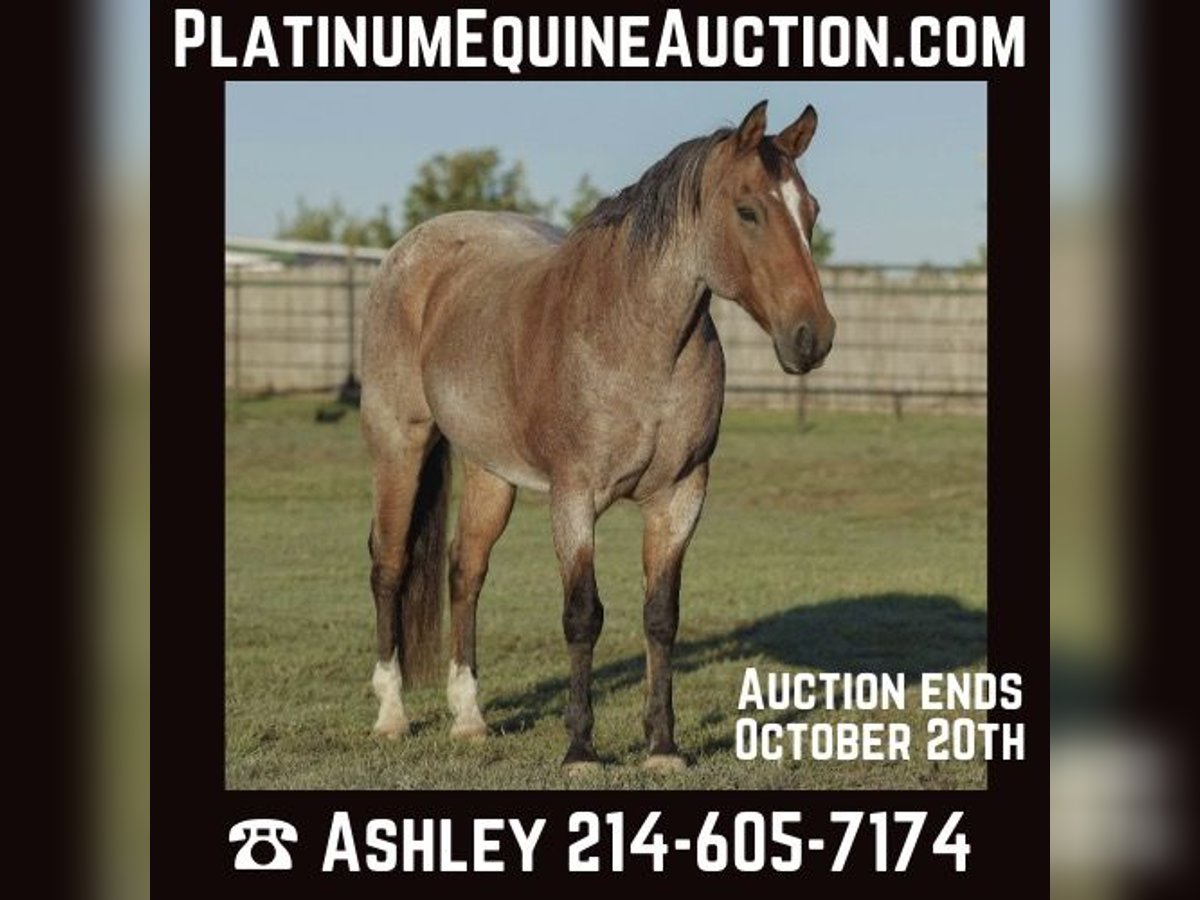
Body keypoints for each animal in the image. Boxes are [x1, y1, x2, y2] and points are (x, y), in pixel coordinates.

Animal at [360, 100, 835, 772]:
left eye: (810, 209)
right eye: (748, 210)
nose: (812, 337)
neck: (633, 338)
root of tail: (412, 251)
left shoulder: (679, 496)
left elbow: (661, 616)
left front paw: (662, 747)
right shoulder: (574, 498)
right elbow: (583, 615)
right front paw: (581, 748)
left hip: (489, 471)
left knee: (465, 572)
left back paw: (470, 719)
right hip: (399, 445)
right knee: (391, 566)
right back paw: (392, 715)